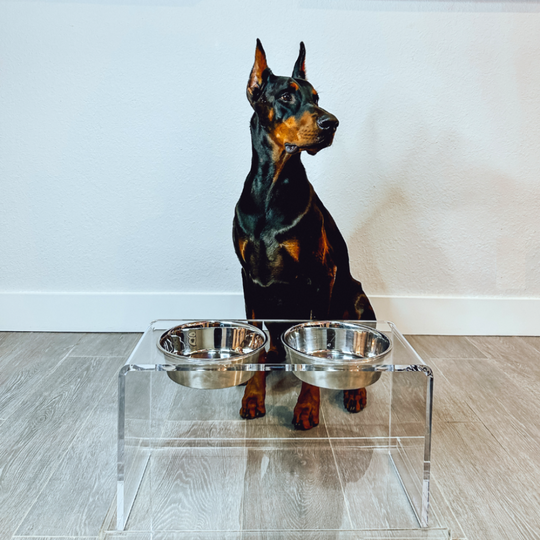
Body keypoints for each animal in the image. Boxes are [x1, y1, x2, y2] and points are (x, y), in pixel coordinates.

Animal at [232, 40, 376, 432]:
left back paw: (355, 391)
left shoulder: (321, 275)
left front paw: (308, 406)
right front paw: (254, 396)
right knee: (273, 345)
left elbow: (315, 349)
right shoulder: (248, 277)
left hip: (358, 299)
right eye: (285, 95)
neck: (272, 188)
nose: (332, 122)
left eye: (316, 97)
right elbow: (257, 342)